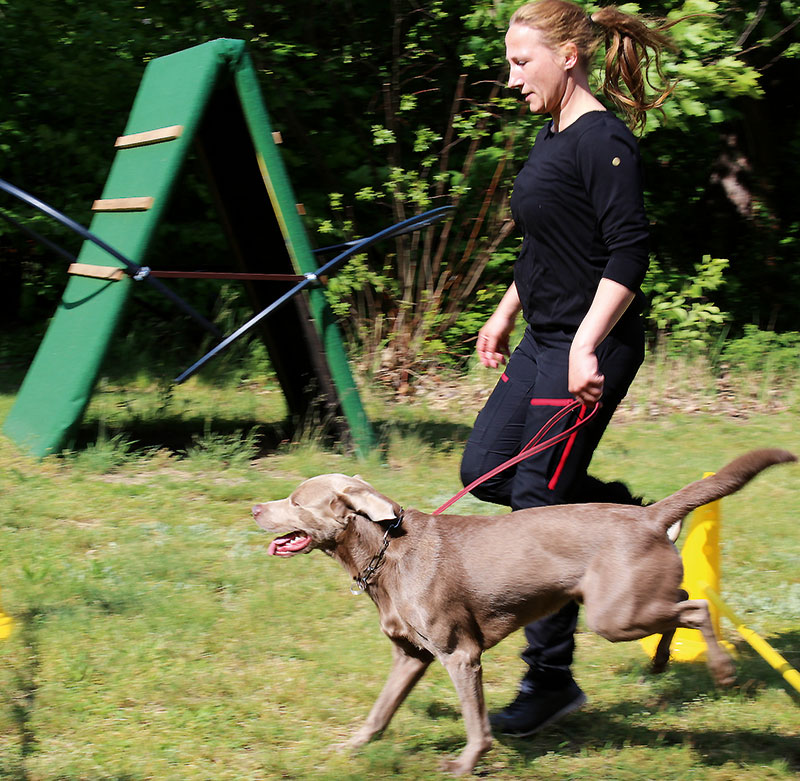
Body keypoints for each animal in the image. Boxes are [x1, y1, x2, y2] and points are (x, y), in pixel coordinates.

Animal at [252, 448, 792, 776]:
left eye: (296, 501)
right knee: (678, 601)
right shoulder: (411, 655)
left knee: (697, 606)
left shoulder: (459, 654)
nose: (255, 508)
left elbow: (476, 723)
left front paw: (465, 763)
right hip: (627, 604)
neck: (384, 552)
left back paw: (720, 669)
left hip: (613, 615)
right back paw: (661, 661)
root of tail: (649, 516)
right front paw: (351, 748)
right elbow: (380, 710)